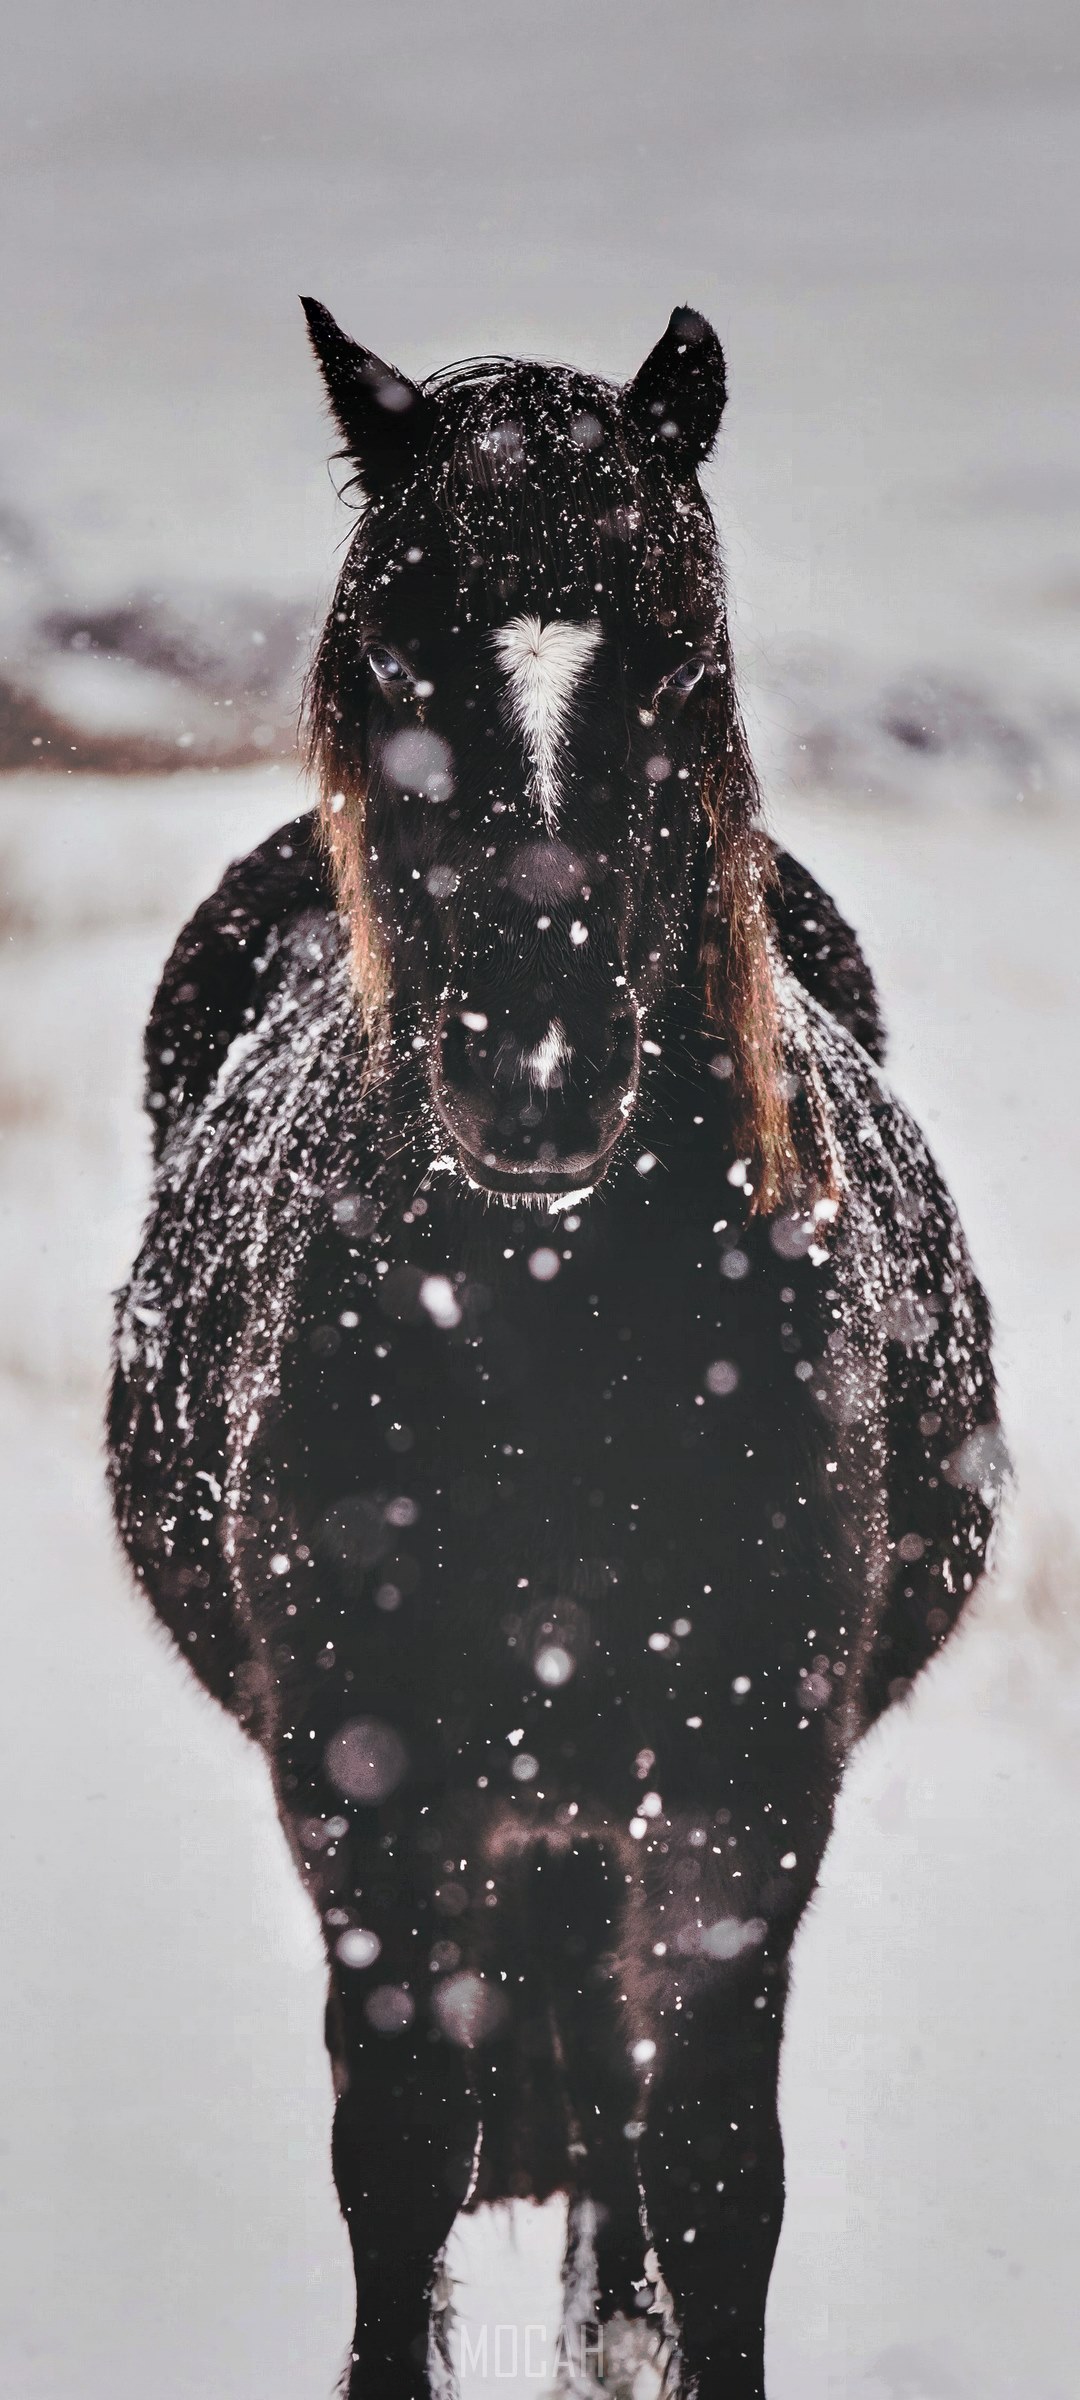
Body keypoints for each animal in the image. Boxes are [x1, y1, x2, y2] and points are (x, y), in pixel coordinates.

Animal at [108, 301, 1001, 2400]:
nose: (533, 1072)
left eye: (678, 655)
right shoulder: (372, 1814)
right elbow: (400, 2163)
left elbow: (717, 2171)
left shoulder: (743, 1815)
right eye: (387, 650)